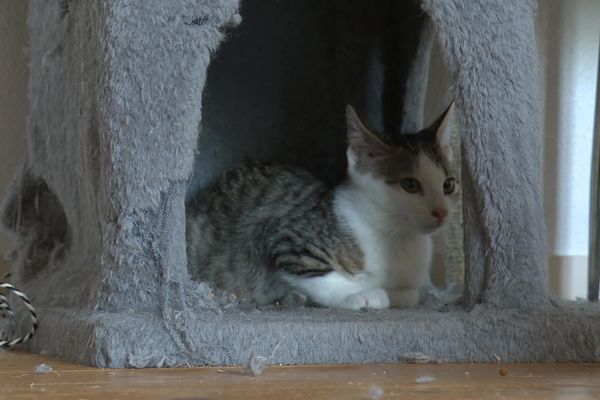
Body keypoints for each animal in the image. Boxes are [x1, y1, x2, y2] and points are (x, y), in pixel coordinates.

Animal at [188, 104, 460, 310]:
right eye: (410, 185)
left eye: (448, 185)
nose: (441, 212)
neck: (397, 238)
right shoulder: (285, 239)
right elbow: (329, 281)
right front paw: (364, 295)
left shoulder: (414, 281)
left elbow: (411, 295)